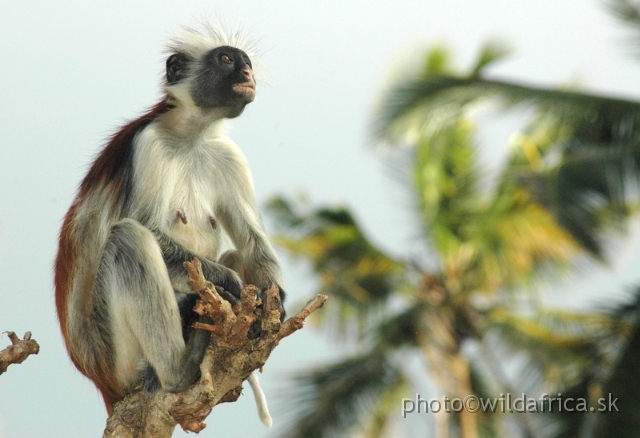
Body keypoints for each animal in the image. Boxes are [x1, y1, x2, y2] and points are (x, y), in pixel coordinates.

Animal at [53, 23, 284, 424]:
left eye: (247, 63)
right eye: (227, 59)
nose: (247, 74)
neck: (192, 136)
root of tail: (101, 382)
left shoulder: (228, 155)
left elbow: (254, 242)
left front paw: (275, 302)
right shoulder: (147, 144)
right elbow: (147, 227)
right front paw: (233, 285)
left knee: (236, 252)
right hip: (115, 354)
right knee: (129, 237)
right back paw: (179, 369)